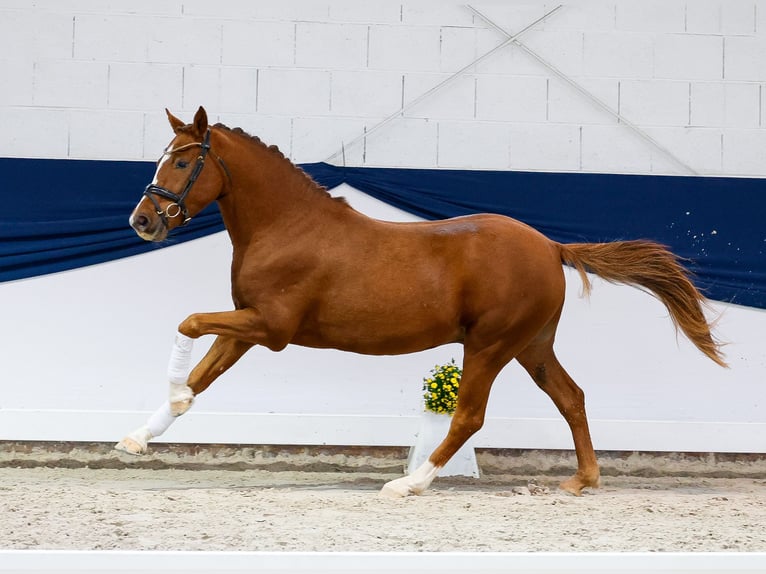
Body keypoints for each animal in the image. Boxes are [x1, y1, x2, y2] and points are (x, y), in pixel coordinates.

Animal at [116, 106, 727, 497]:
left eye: (181, 161)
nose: (142, 221)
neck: (286, 227)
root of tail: (550, 246)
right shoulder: (249, 326)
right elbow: (204, 369)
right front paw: (139, 438)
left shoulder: (271, 327)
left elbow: (189, 324)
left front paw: (170, 400)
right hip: (531, 345)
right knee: (571, 398)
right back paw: (582, 480)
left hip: (491, 345)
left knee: (470, 415)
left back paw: (410, 483)